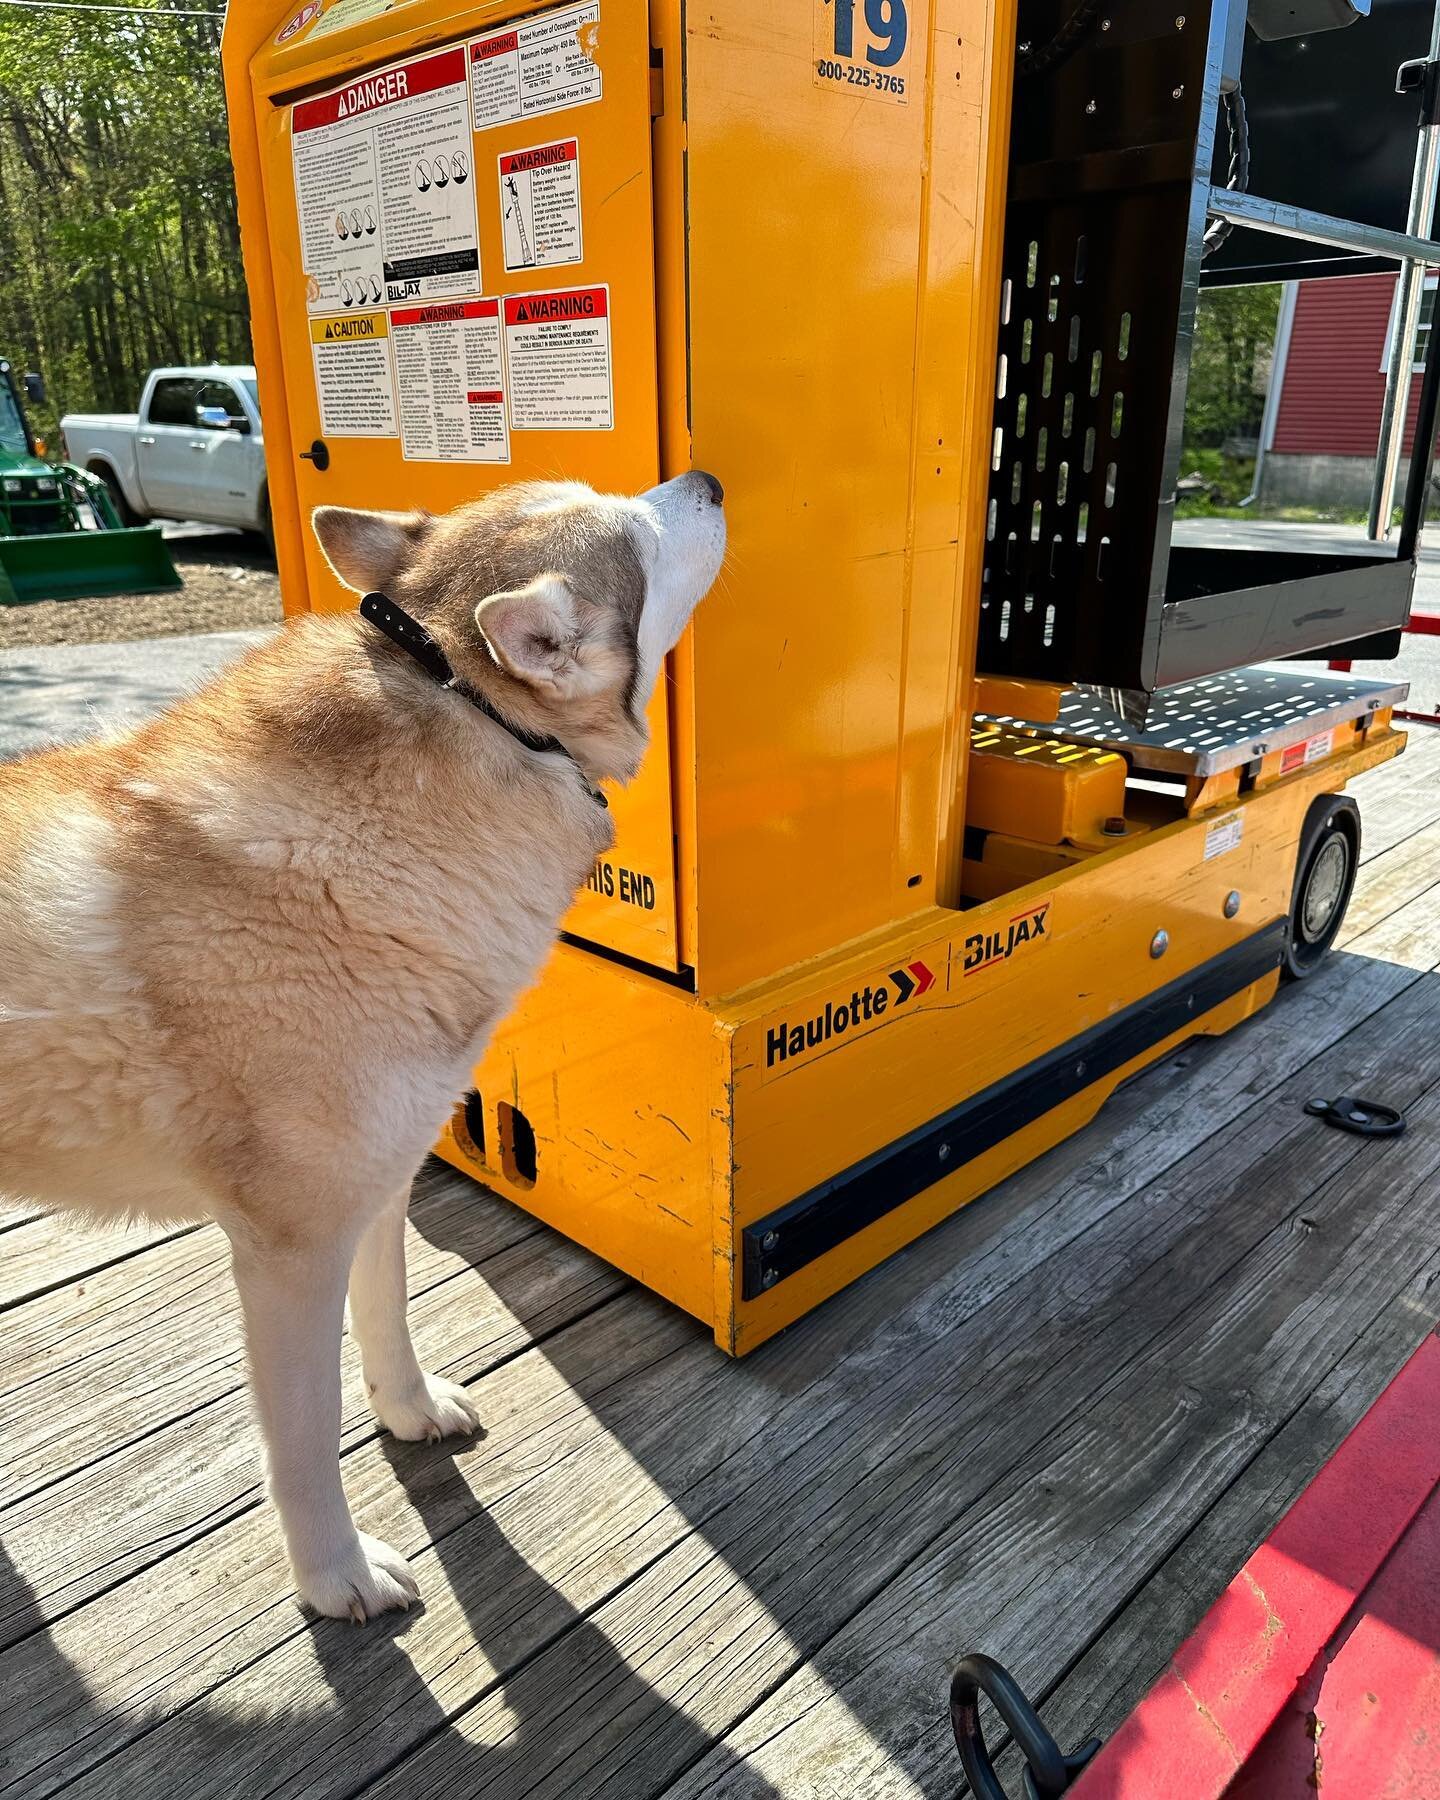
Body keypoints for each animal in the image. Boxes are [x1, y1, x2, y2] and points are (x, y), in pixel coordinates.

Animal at [0, 471, 720, 1627]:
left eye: (621, 496)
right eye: (643, 533)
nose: (708, 481)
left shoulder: (383, 1187)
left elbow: (388, 1321)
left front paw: (410, 1411)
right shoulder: (288, 1251)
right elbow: (301, 1444)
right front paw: (334, 1576)